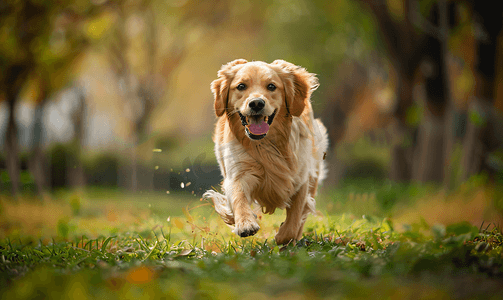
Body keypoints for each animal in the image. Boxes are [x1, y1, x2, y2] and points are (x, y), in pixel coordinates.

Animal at [203, 59, 328, 245]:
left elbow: (296, 214)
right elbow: (239, 197)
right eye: (241, 86)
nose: (256, 103)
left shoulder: (301, 177)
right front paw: (245, 223)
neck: (265, 145)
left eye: (271, 86)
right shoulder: (238, 172)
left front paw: (284, 236)